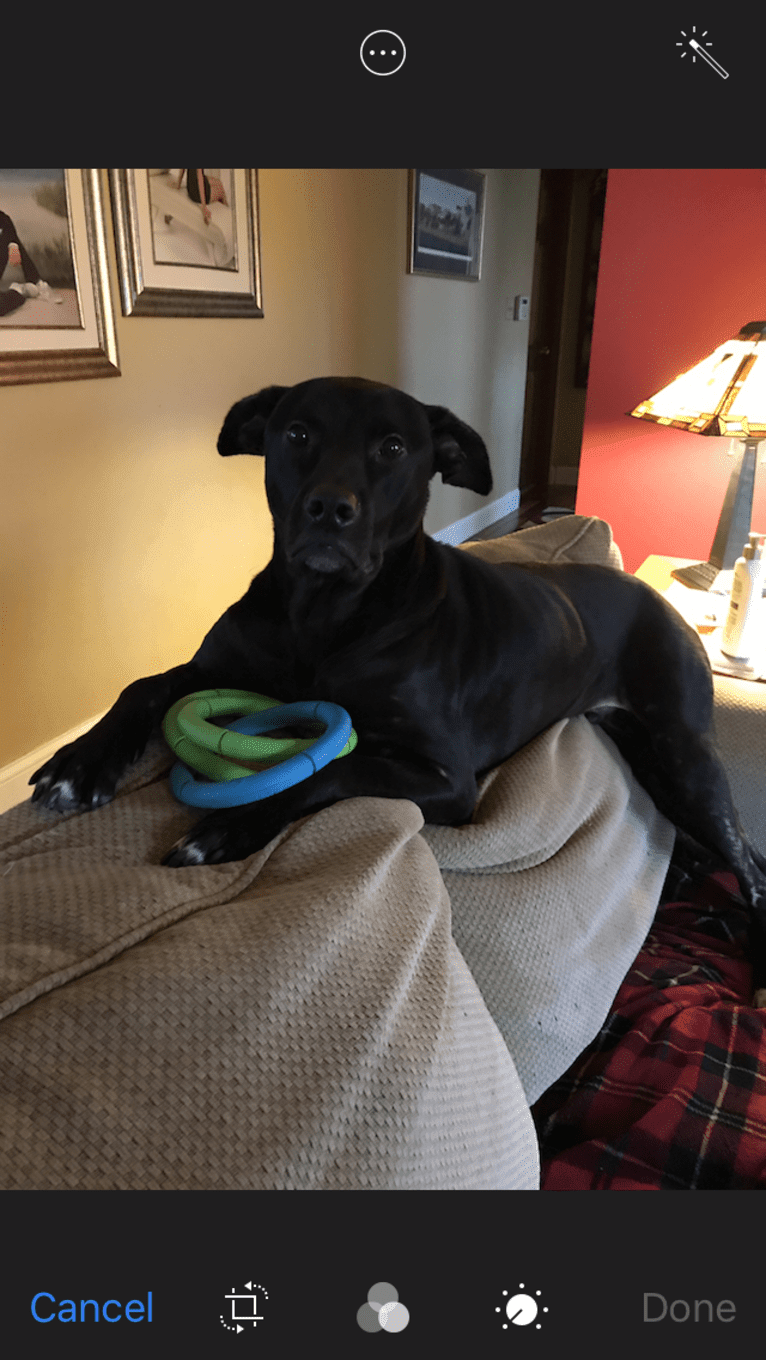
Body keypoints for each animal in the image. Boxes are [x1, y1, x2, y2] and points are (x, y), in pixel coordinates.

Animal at [29, 378, 766, 935]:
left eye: (392, 447)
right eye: (296, 434)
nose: (330, 508)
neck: (324, 615)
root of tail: (656, 597)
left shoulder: (445, 776)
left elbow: (329, 768)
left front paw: (227, 827)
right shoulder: (218, 669)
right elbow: (144, 684)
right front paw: (80, 763)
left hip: (686, 757)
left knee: (748, 863)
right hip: (652, 759)